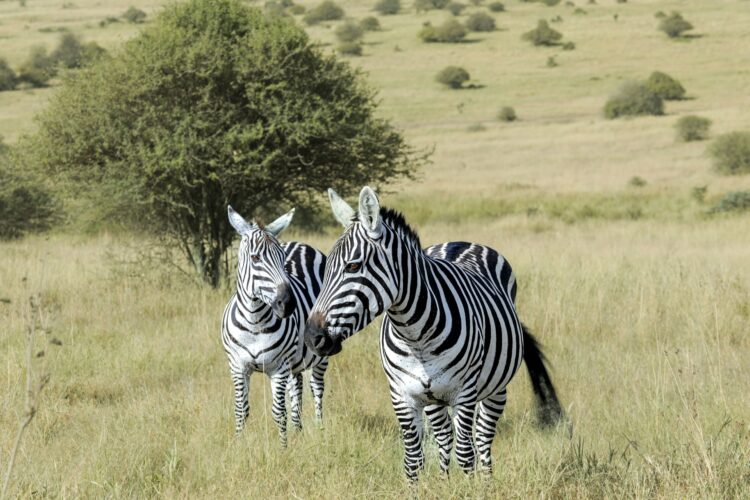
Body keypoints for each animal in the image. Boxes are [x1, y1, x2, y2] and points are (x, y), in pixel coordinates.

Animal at [222, 205, 330, 448]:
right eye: (255, 258)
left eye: (282, 260)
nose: (288, 303)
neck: (254, 323)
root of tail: (301, 244)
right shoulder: (237, 365)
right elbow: (241, 410)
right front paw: (239, 446)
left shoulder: (278, 368)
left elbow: (278, 412)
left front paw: (283, 449)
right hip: (295, 361)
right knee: (297, 389)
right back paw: (298, 431)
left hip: (320, 353)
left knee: (316, 389)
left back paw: (319, 431)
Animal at [306, 188, 564, 480]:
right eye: (326, 268)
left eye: (352, 266)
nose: (312, 337)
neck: (415, 336)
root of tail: (460, 242)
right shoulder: (402, 395)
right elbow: (413, 459)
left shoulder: (464, 393)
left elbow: (466, 454)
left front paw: (470, 487)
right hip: (433, 398)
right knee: (444, 437)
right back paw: (443, 478)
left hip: (495, 389)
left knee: (482, 439)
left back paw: (487, 481)